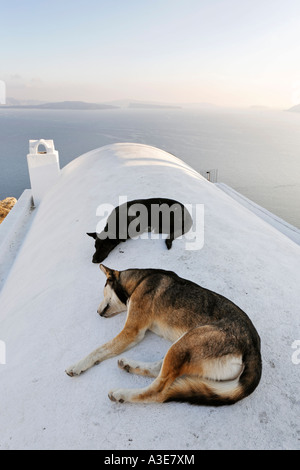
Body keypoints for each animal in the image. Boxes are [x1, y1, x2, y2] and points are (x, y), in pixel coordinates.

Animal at [66, 266, 262, 406]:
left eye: (103, 291)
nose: (97, 312)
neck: (139, 281)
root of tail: (254, 347)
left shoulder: (132, 332)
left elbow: (97, 350)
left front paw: (77, 366)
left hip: (186, 343)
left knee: (158, 391)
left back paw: (122, 393)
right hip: (182, 345)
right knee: (158, 369)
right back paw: (130, 365)